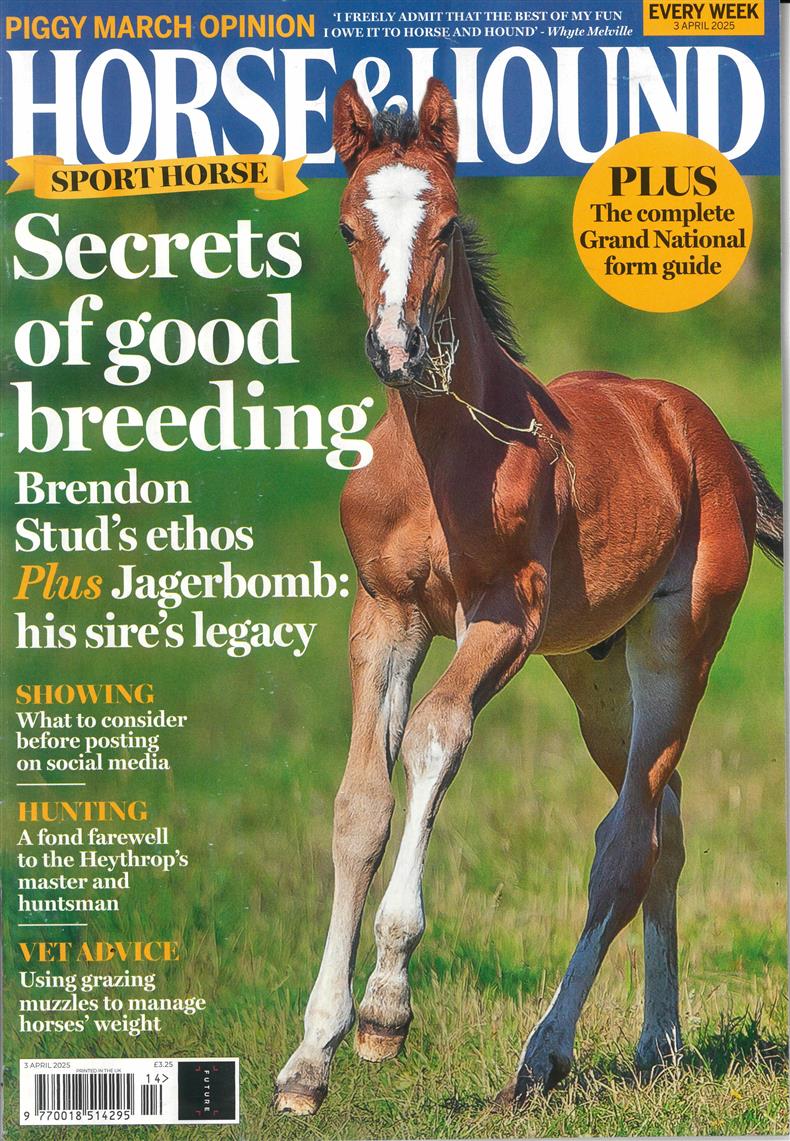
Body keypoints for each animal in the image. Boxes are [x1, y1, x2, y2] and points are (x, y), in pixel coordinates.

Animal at [274, 77, 783, 1115]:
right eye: (348, 226)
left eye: (446, 223)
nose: (398, 348)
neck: (440, 454)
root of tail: (701, 431)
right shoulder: (384, 615)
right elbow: (359, 805)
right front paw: (310, 1057)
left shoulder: (504, 616)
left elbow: (435, 737)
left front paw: (384, 1012)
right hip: (594, 675)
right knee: (663, 821)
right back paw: (658, 1044)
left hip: (675, 649)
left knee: (624, 840)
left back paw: (544, 1054)